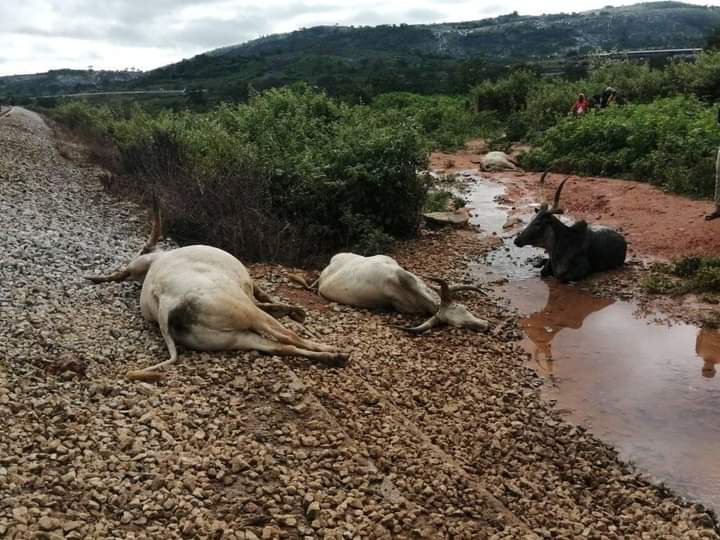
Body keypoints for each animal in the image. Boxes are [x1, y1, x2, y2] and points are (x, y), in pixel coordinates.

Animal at [87, 201, 348, 380]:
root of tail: (166, 303)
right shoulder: (249, 287)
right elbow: (265, 297)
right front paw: (294, 311)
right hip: (245, 312)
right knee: (287, 337)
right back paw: (333, 351)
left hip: (232, 338)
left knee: (279, 347)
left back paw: (334, 359)